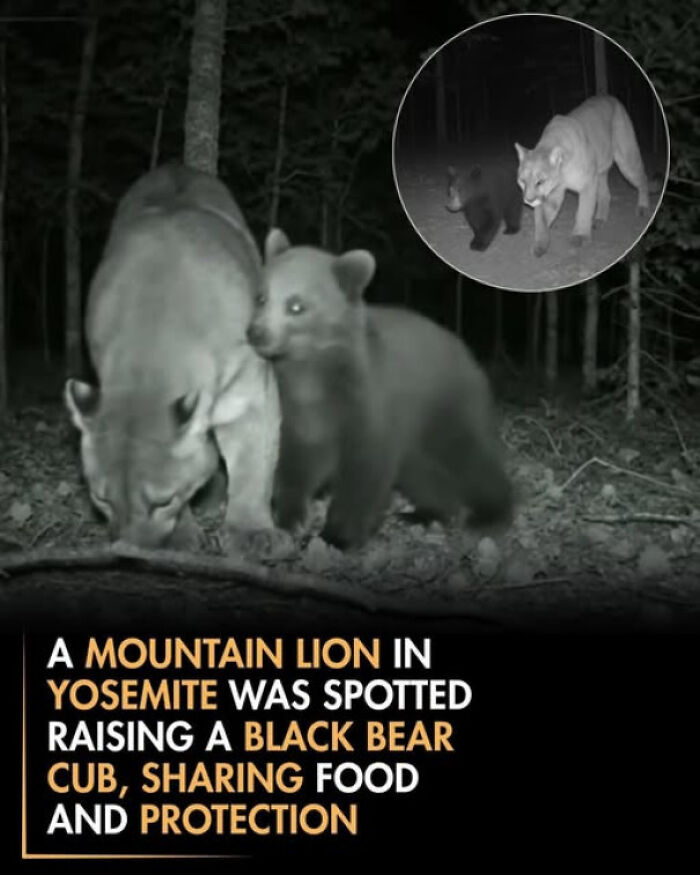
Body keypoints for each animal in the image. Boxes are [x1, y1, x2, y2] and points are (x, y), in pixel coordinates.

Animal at [246, 229, 513, 550]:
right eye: (261, 296)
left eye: (296, 305)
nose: (256, 333)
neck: (312, 369)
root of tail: (465, 351)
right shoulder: (295, 408)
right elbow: (293, 459)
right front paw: (290, 519)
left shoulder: (367, 402)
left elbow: (365, 471)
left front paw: (338, 535)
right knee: (422, 471)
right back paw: (426, 512)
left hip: (446, 403)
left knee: (471, 456)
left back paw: (490, 514)